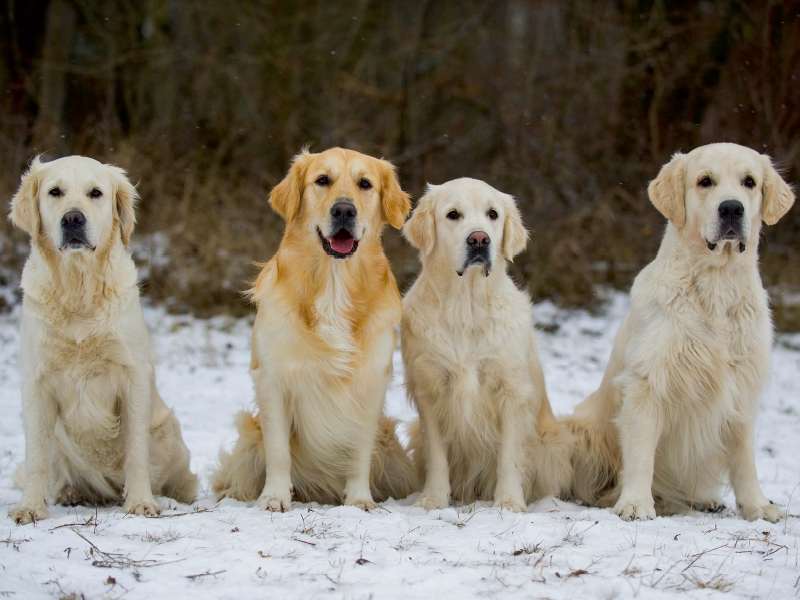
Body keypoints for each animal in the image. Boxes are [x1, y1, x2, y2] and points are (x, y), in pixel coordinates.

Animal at [9, 156, 198, 524]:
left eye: (95, 193)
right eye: (55, 192)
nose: (73, 218)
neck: (78, 289)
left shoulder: (133, 376)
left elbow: (135, 451)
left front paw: (141, 502)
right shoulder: (36, 382)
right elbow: (36, 455)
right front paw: (30, 508)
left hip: (170, 435)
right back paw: (70, 494)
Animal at [211, 150, 418, 510]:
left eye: (365, 184)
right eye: (322, 180)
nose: (344, 210)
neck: (333, 284)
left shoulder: (371, 384)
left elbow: (359, 452)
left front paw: (360, 499)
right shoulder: (272, 380)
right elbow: (278, 450)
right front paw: (275, 497)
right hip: (248, 439)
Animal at [404, 178, 580, 510]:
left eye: (493, 214)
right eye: (453, 214)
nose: (479, 239)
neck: (466, 306)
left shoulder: (511, 391)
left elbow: (509, 456)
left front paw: (509, 502)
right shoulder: (429, 390)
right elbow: (437, 455)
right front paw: (433, 498)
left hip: (555, 443)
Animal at [564, 144, 796, 520]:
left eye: (749, 181)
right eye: (705, 181)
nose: (732, 208)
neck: (716, 285)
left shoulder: (742, 388)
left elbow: (744, 459)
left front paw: (758, 506)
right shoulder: (647, 384)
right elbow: (641, 454)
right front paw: (635, 504)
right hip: (580, 431)